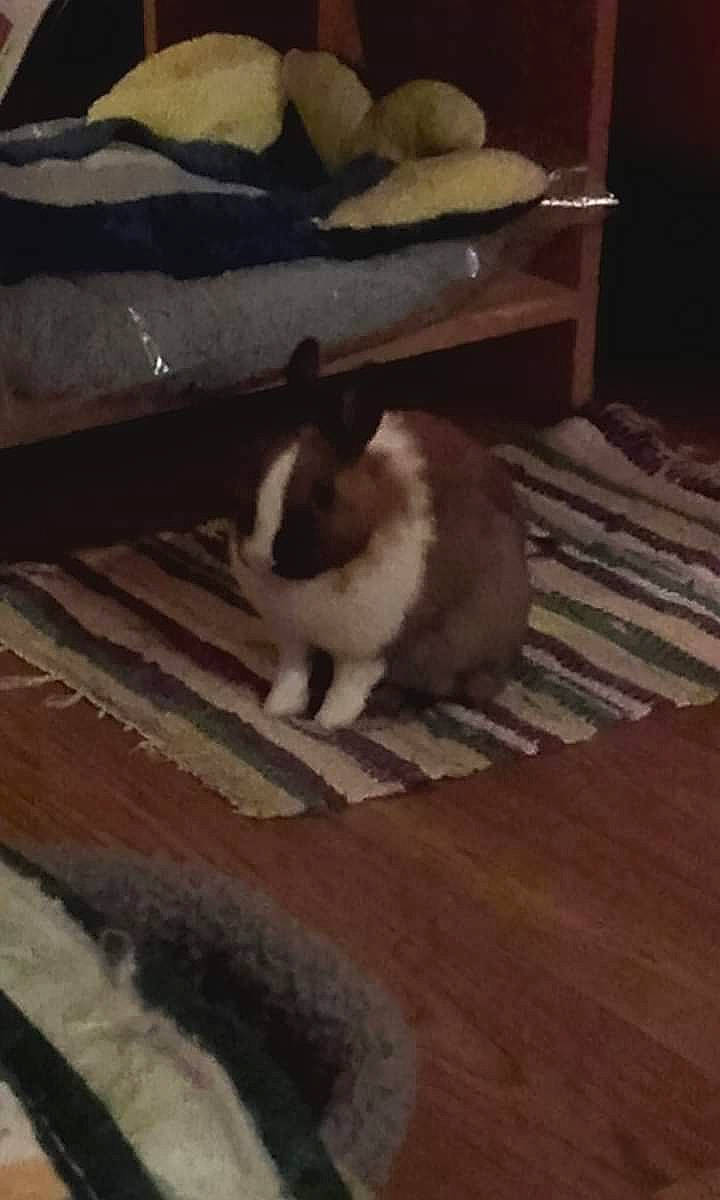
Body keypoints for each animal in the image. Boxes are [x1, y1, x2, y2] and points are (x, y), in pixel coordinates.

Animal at [228, 337, 530, 729]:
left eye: (324, 495)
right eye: (257, 465)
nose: (259, 556)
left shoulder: (368, 650)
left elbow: (348, 687)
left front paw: (328, 722)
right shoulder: (293, 638)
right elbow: (293, 673)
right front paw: (277, 708)